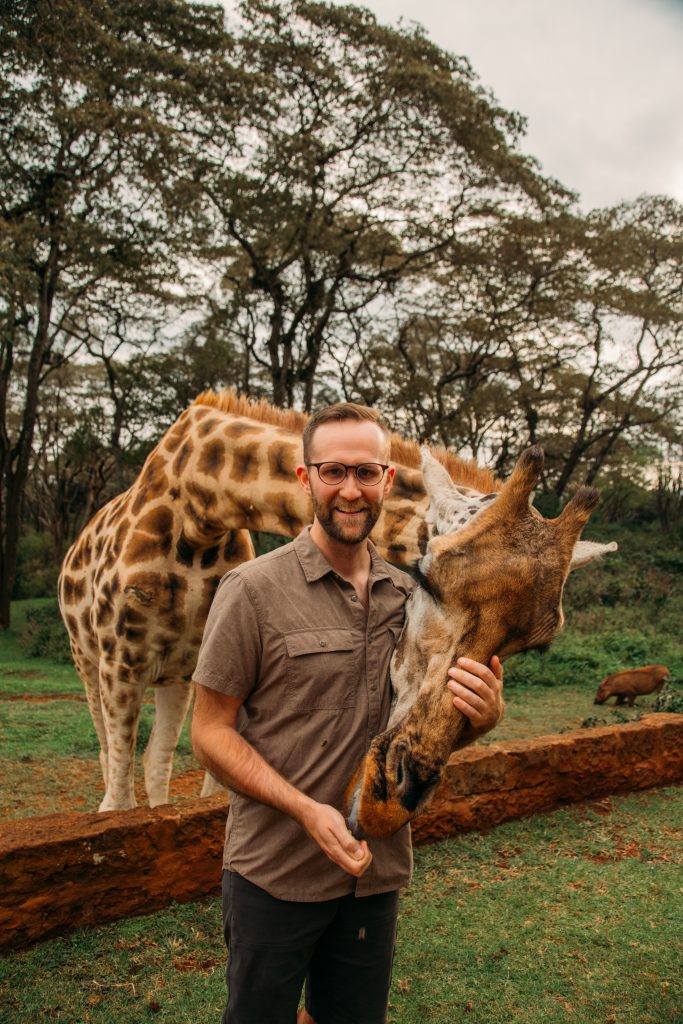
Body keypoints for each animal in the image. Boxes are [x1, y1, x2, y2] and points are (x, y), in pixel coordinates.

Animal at [57, 389, 497, 806]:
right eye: (433, 580)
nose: (412, 778)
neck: (201, 510)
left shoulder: (206, 665)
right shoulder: (121, 662)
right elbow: (118, 797)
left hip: (174, 676)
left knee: (156, 760)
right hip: (87, 661)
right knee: (111, 755)